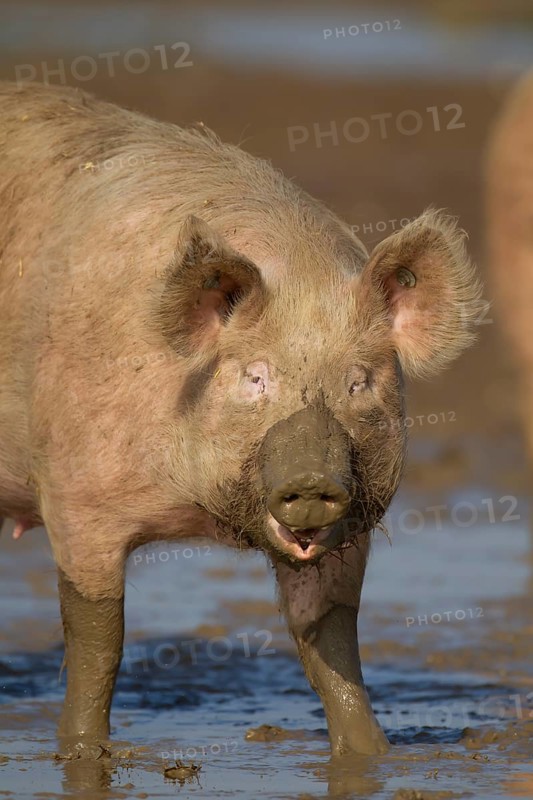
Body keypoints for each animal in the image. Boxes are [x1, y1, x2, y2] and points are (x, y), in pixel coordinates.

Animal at [0, 81, 482, 757]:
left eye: (359, 381)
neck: (198, 513)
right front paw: (81, 754)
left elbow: (331, 640)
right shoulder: (75, 498)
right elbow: (99, 641)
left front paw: (371, 755)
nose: (311, 479)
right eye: (255, 377)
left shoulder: (346, 534)